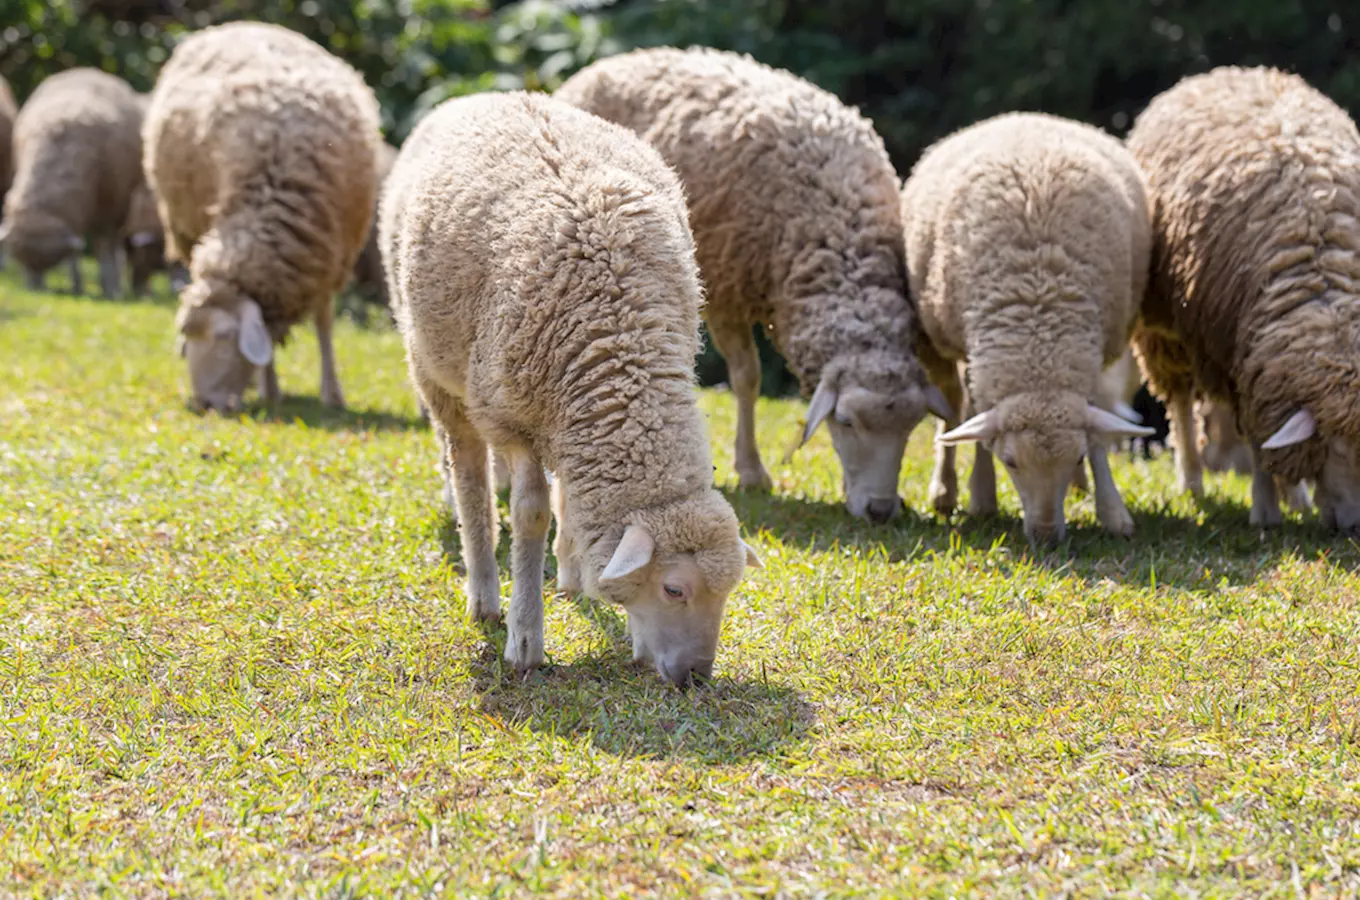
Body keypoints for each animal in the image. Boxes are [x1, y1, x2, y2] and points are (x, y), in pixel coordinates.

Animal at [0, 68, 145, 299]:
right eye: (22, 264)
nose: (35, 290)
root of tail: (89, 69)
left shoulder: (107, 212)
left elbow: (104, 251)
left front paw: (109, 287)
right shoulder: (73, 215)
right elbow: (73, 255)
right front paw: (77, 286)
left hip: (121, 207)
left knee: (114, 247)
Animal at [144, 22, 383, 413]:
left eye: (225, 336)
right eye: (187, 335)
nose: (205, 404)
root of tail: (236, 25)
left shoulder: (329, 254)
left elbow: (324, 322)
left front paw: (332, 393)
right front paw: (270, 387)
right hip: (183, 226)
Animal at [383, 89, 761, 685]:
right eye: (674, 589)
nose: (695, 677)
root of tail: (493, 93)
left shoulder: (569, 412)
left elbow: (568, 503)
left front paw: (588, 591)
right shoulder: (511, 419)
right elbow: (530, 513)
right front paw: (525, 638)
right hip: (437, 371)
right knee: (468, 474)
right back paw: (484, 592)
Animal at [557, 45, 952, 524]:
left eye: (912, 426)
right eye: (846, 421)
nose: (880, 510)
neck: (835, 228)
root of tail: (616, 60)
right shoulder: (725, 290)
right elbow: (747, 379)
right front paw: (751, 471)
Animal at [1126, 70, 1360, 532]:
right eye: (1338, 448)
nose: (1355, 525)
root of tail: (1219, 73)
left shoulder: (1268, 366)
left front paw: (1291, 498)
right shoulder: (1238, 360)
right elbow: (1256, 440)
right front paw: (1264, 511)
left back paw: (1296, 498)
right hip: (1164, 332)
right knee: (1180, 403)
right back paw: (1192, 482)